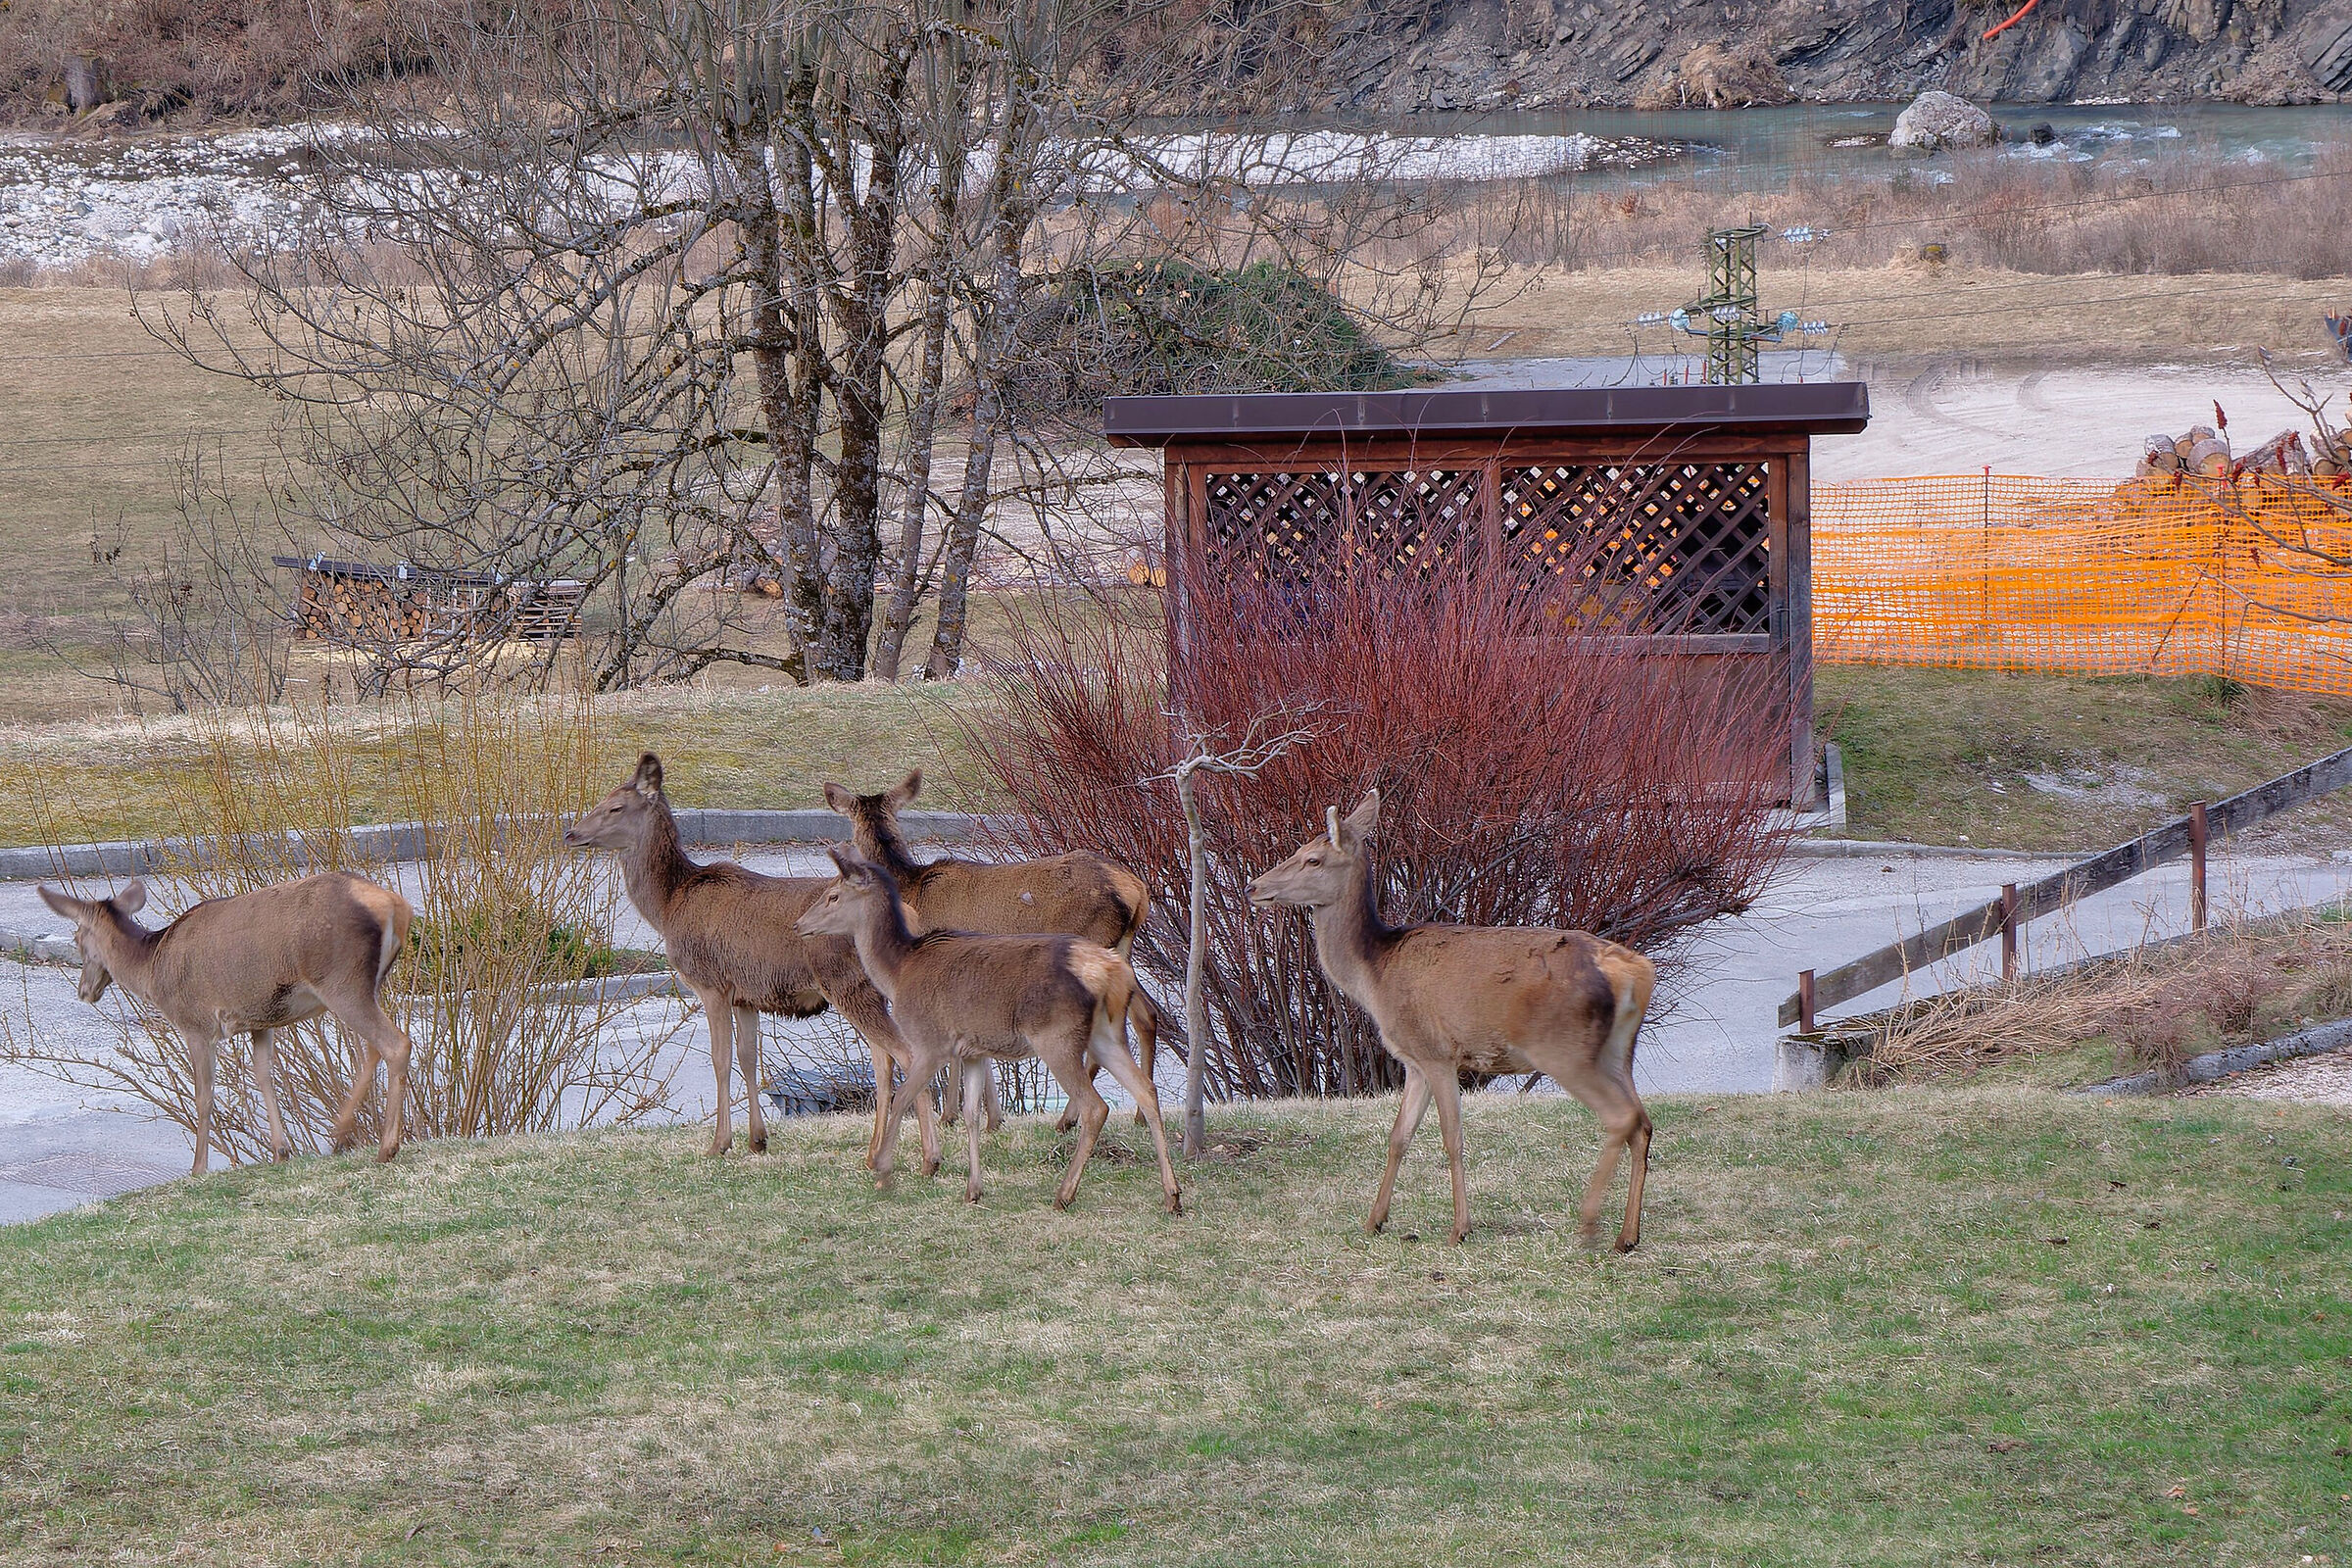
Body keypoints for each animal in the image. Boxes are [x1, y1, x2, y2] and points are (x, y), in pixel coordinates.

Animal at [37, 872, 419, 1173]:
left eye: (77, 938)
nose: (84, 991)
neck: (152, 969)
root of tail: (395, 906)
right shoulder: (260, 1020)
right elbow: (264, 1076)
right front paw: (281, 1151)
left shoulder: (195, 1022)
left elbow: (204, 1096)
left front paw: (198, 1169)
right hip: (370, 983)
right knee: (375, 1046)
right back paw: (341, 1133)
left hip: (340, 979)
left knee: (396, 1042)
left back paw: (384, 1147)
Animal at [563, 754, 934, 1171]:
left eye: (615, 806)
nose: (571, 834)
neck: (668, 905)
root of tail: (909, 919)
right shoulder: (746, 995)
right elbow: (748, 1058)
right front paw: (757, 1139)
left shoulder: (711, 983)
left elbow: (720, 1059)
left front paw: (719, 1143)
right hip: (867, 990)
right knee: (883, 1060)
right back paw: (874, 1153)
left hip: (846, 983)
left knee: (904, 1054)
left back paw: (927, 1159)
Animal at [794, 846, 1181, 1215]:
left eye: (832, 895)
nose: (798, 925)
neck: (898, 971)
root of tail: (1110, 973)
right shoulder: (974, 1051)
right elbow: (971, 1115)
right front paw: (973, 1190)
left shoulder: (929, 1041)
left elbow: (903, 1096)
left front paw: (887, 1171)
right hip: (1106, 1033)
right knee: (1146, 1090)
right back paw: (1172, 1195)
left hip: (1056, 1035)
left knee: (1096, 1106)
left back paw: (1065, 1193)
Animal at [822, 769, 1158, 1133]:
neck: (910, 889)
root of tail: (1136, 890)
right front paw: (991, 1119)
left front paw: (951, 1115)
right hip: (1121, 952)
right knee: (1147, 1015)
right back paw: (1138, 1114)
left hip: (1091, 948)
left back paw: (1069, 1119)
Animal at [1245, 790, 1656, 1250]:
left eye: (1313, 859)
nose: (1253, 886)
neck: (1375, 975)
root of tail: (1633, 971)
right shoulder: (1412, 1060)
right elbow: (1398, 1136)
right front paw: (1374, 1220)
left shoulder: (1437, 1052)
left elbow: (1451, 1138)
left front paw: (1460, 1227)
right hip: (1618, 1050)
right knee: (1643, 1123)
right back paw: (1628, 1235)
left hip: (1562, 1048)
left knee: (1620, 1118)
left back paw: (1588, 1225)